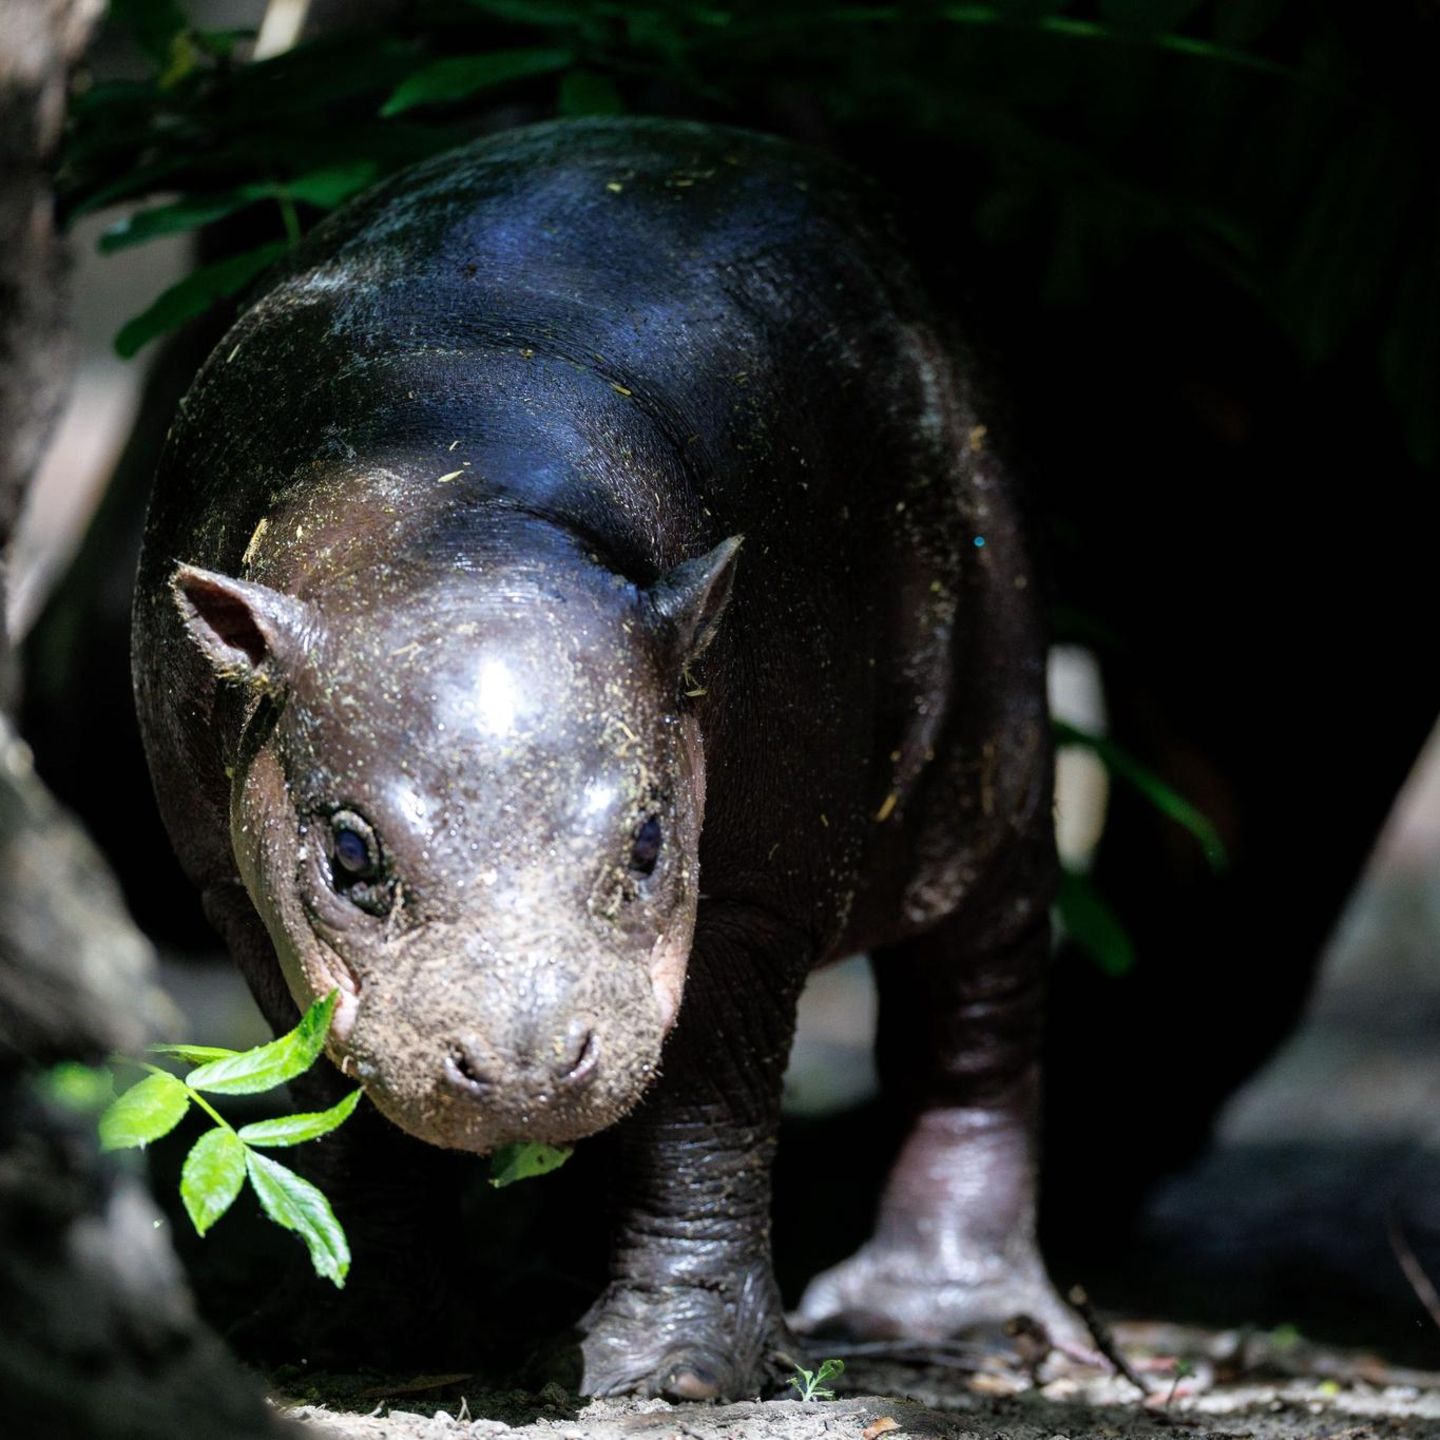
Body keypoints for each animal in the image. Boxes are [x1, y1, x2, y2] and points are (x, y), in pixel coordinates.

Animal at [132, 116, 1077, 1398]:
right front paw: (367, 1342)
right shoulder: (237, 893)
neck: (444, 510)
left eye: (648, 838)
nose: (526, 1067)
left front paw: (664, 1376)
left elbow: (706, 1129)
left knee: (978, 1018)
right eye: (349, 853)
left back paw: (939, 1315)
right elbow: (349, 1111)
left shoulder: (752, 886)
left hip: (996, 752)